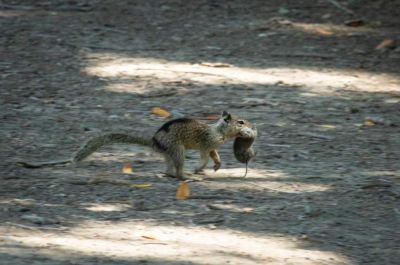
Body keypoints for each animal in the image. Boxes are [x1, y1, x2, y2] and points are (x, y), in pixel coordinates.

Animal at [18, 110, 256, 178]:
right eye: (241, 122)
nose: (253, 126)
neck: (219, 130)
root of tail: (154, 142)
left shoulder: (214, 146)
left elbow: (215, 155)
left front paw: (217, 165)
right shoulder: (206, 144)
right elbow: (205, 156)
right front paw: (201, 168)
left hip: (170, 153)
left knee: (168, 169)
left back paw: (171, 174)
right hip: (177, 150)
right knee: (177, 169)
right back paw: (187, 176)